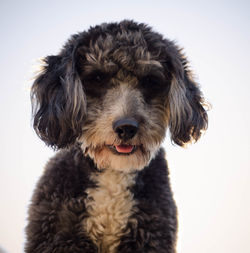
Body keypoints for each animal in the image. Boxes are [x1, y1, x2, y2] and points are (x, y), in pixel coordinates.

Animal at [24, 20, 207, 253]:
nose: (126, 127)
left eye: (150, 80)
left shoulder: (151, 236)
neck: (114, 172)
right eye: (97, 78)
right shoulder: (59, 236)